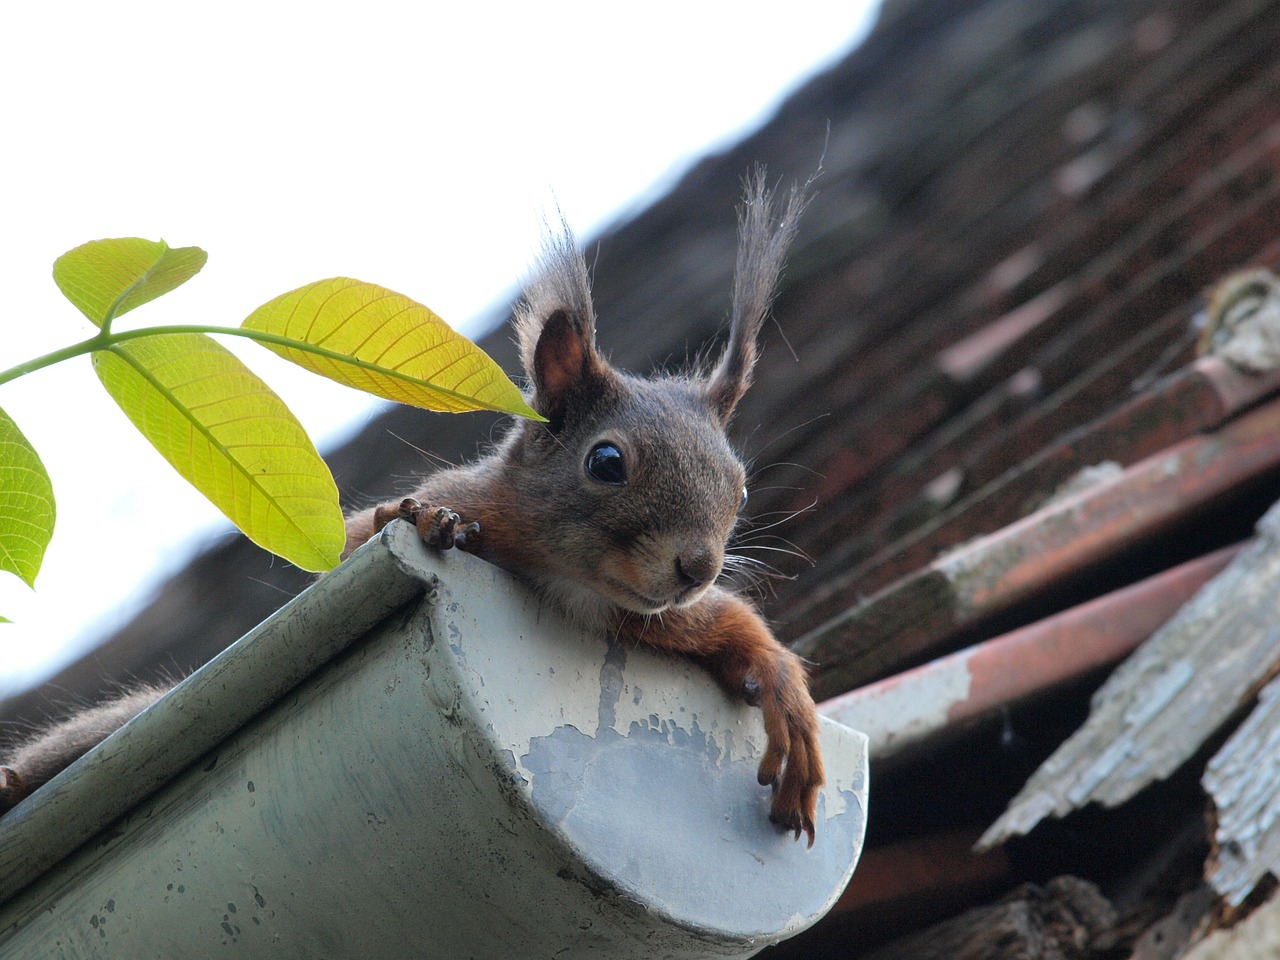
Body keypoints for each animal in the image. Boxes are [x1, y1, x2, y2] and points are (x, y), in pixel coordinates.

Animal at [0, 172, 819, 849]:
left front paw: (785, 693)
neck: (573, 582)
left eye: (741, 487)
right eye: (606, 463)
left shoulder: (649, 617)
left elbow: (733, 627)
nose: (696, 566)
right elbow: (359, 541)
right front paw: (427, 521)